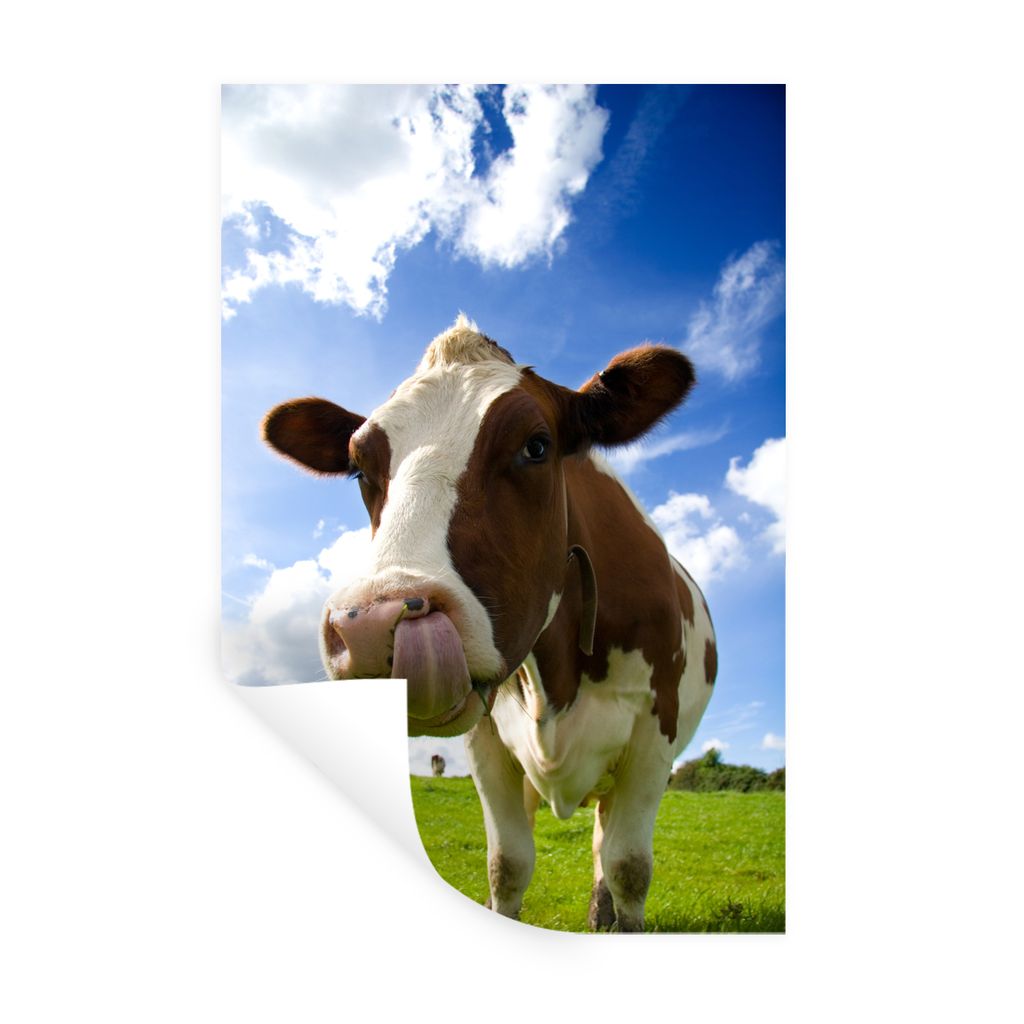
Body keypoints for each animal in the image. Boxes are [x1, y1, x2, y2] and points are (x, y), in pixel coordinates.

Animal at [262, 315, 717, 931]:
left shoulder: (654, 733)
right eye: (359, 468)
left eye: (536, 446)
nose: (370, 627)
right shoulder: (486, 741)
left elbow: (629, 867)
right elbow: (508, 864)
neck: (559, 678)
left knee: (605, 843)